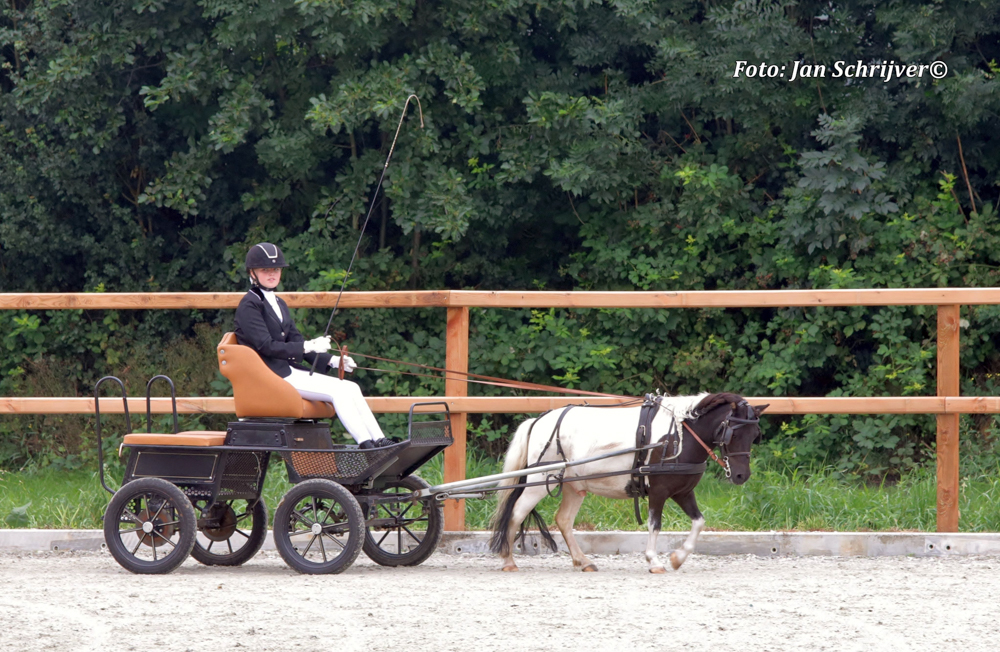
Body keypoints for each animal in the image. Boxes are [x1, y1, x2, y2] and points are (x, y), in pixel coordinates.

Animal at [489, 392, 767, 573]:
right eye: (732, 433)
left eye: (755, 434)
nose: (741, 475)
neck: (678, 435)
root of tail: (538, 420)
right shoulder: (659, 491)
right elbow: (655, 525)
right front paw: (654, 561)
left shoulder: (683, 491)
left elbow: (699, 522)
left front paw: (678, 558)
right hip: (538, 482)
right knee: (516, 513)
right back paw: (508, 560)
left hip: (574, 486)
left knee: (564, 520)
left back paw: (583, 561)